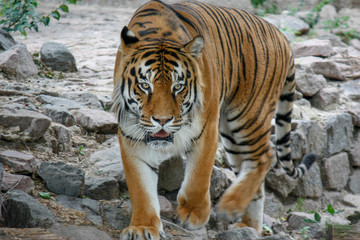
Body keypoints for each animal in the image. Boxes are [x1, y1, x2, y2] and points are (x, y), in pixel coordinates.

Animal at [112, 0, 316, 239]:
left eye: (178, 87)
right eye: (145, 86)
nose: (162, 120)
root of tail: (281, 35)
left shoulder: (206, 129)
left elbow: (199, 176)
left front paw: (193, 214)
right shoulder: (132, 139)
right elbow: (140, 189)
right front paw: (142, 227)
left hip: (247, 117)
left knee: (267, 155)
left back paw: (229, 205)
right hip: (233, 137)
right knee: (253, 171)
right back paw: (248, 225)